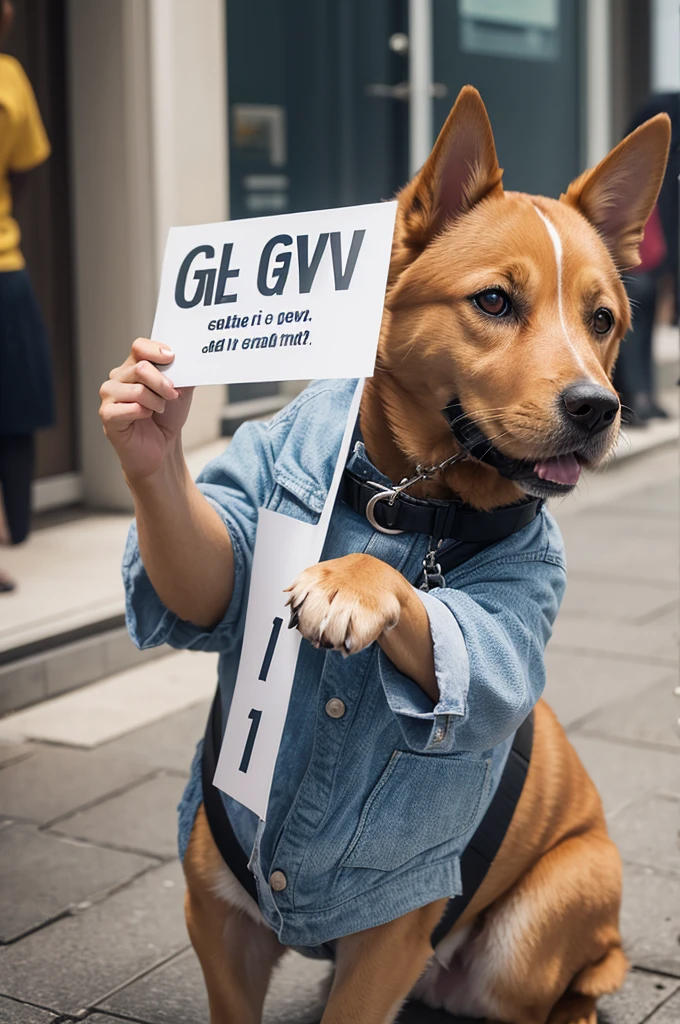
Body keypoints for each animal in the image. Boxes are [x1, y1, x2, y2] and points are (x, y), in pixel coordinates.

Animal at [176, 90, 667, 1024]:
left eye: (602, 320)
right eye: (494, 302)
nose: (599, 406)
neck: (409, 506)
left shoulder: (388, 946)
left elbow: (453, 633)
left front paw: (353, 587)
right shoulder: (218, 918)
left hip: (540, 923)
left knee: (574, 983)